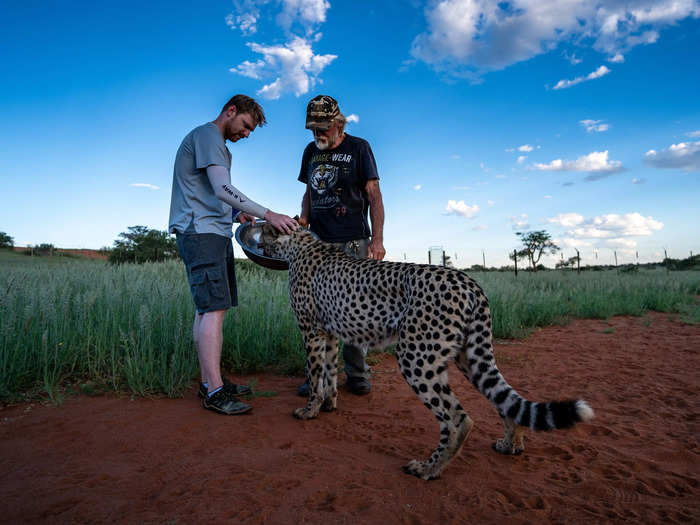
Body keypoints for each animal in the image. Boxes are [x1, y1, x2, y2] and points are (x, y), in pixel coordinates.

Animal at [260, 225, 592, 478]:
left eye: (261, 228)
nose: (251, 228)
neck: (300, 244)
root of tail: (468, 280)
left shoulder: (312, 331)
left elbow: (316, 373)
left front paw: (309, 410)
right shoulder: (329, 333)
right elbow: (328, 373)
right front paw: (329, 404)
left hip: (416, 356)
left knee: (458, 418)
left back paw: (428, 469)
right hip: (466, 353)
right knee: (503, 396)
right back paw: (509, 444)